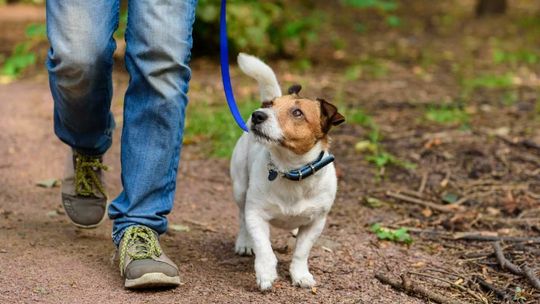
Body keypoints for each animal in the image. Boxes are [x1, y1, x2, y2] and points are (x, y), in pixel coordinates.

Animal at [230, 53, 344, 290]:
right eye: (270, 105)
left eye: (297, 112)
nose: (258, 114)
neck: (290, 170)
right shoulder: (256, 214)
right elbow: (264, 248)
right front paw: (266, 273)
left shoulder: (316, 223)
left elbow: (301, 252)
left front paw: (300, 274)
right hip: (240, 189)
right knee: (242, 217)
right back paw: (244, 242)